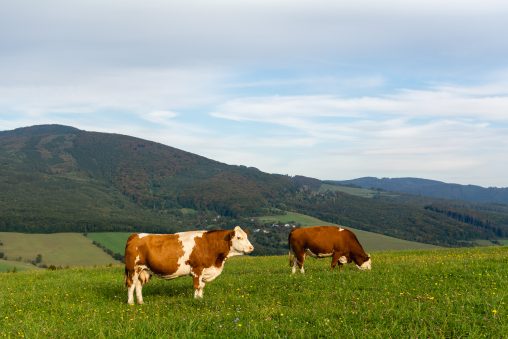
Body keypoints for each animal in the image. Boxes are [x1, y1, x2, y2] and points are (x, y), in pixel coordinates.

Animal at [123, 227, 254, 304]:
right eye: (239, 237)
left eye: (247, 236)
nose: (251, 247)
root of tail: (135, 235)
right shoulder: (197, 269)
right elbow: (197, 286)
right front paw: (196, 300)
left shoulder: (204, 271)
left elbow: (202, 286)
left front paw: (200, 299)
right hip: (133, 269)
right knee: (131, 284)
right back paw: (131, 303)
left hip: (143, 270)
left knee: (138, 285)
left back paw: (141, 302)